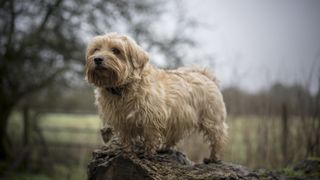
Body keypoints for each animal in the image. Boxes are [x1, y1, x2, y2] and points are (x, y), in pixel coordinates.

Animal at [85, 32, 228, 163]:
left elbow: (150, 138)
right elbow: (126, 138)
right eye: (96, 49)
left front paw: (147, 154)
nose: (97, 59)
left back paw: (214, 158)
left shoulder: (152, 118)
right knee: (175, 135)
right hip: (178, 119)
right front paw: (127, 153)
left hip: (212, 119)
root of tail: (206, 76)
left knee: (219, 138)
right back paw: (164, 148)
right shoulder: (121, 121)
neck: (123, 88)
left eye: (116, 50)